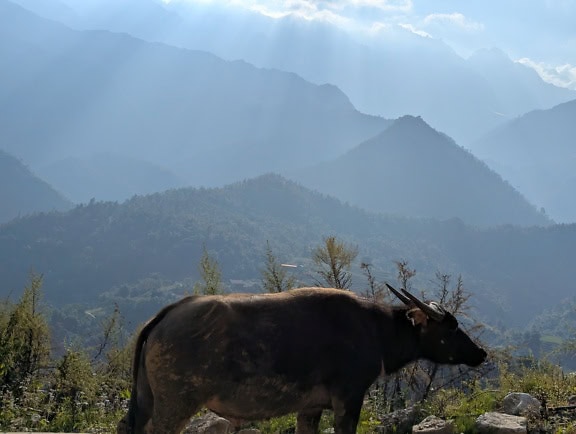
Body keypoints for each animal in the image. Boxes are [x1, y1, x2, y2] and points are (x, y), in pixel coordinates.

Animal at [117, 284, 486, 434]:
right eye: (452, 327)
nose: (480, 352)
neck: (374, 330)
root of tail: (167, 314)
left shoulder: (310, 408)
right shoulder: (349, 399)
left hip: (147, 400)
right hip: (175, 405)